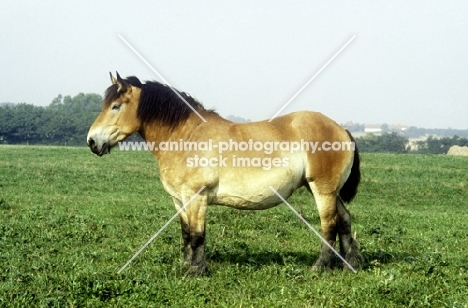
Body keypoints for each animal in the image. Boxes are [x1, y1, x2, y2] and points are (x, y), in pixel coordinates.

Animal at [88, 73, 366, 276]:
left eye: (115, 106)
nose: (92, 141)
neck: (185, 137)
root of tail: (341, 129)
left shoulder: (197, 198)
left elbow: (197, 235)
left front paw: (196, 271)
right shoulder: (179, 200)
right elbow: (186, 233)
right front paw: (186, 266)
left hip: (322, 190)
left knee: (329, 225)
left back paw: (320, 267)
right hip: (325, 190)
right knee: (344, 219)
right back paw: (349, 264)